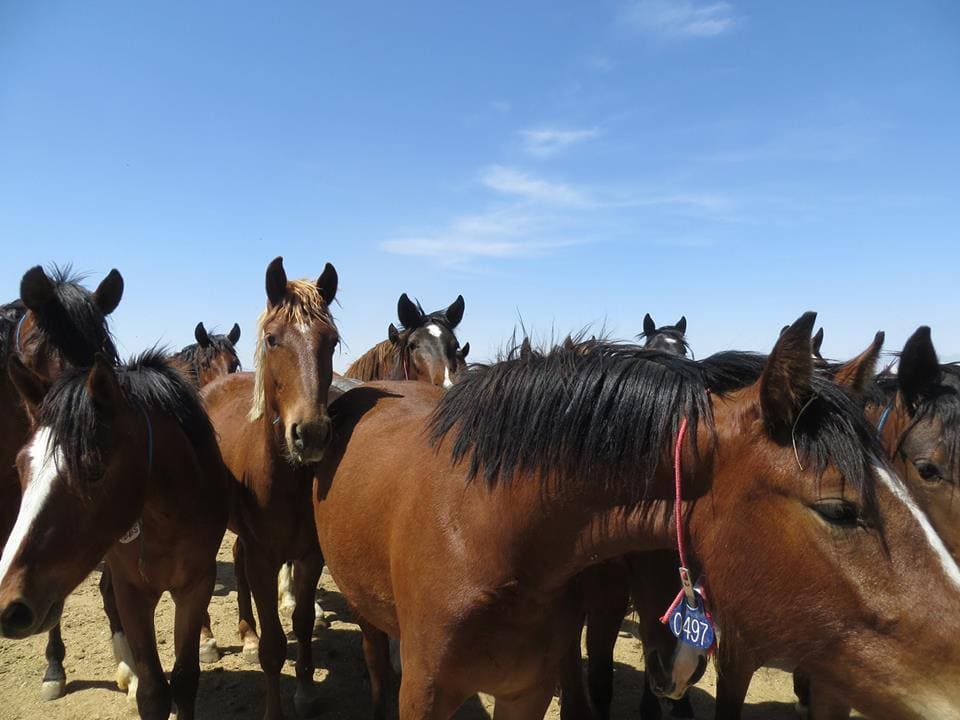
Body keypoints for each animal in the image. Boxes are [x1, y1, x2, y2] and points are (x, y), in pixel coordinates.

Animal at [0, 350, 229, 720]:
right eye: (21, 467)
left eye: (93, 470)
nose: (10, 606)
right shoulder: (132, 590)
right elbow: (153, 692)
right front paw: (139, 680)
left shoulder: (196, 587)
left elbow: (184, 680)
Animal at [201, 258, 340, 720]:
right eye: (272, 339)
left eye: (331, 342)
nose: (310, 434)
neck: (284, 478)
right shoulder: (265, 561)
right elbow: (274, 648)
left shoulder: (310, 556)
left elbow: (301, 622)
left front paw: (307, 690)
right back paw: (212, 640)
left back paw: (246, 632)